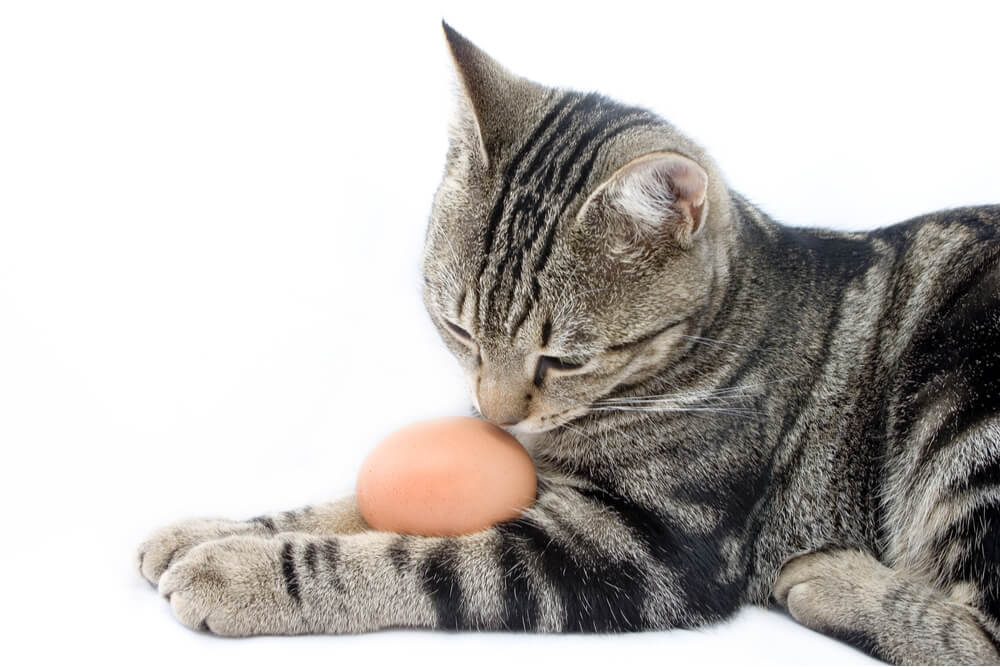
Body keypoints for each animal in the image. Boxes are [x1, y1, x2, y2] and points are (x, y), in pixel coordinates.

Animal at [135, 22, 1000, 667]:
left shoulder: (646, 548)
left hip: (965, 399)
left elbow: (422, 558)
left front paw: (241, 571)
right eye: (458, 328)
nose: (495, 415)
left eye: (563, 359)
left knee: (981, 629)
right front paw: (211, 529)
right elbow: (346, 504)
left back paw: (830, 579)